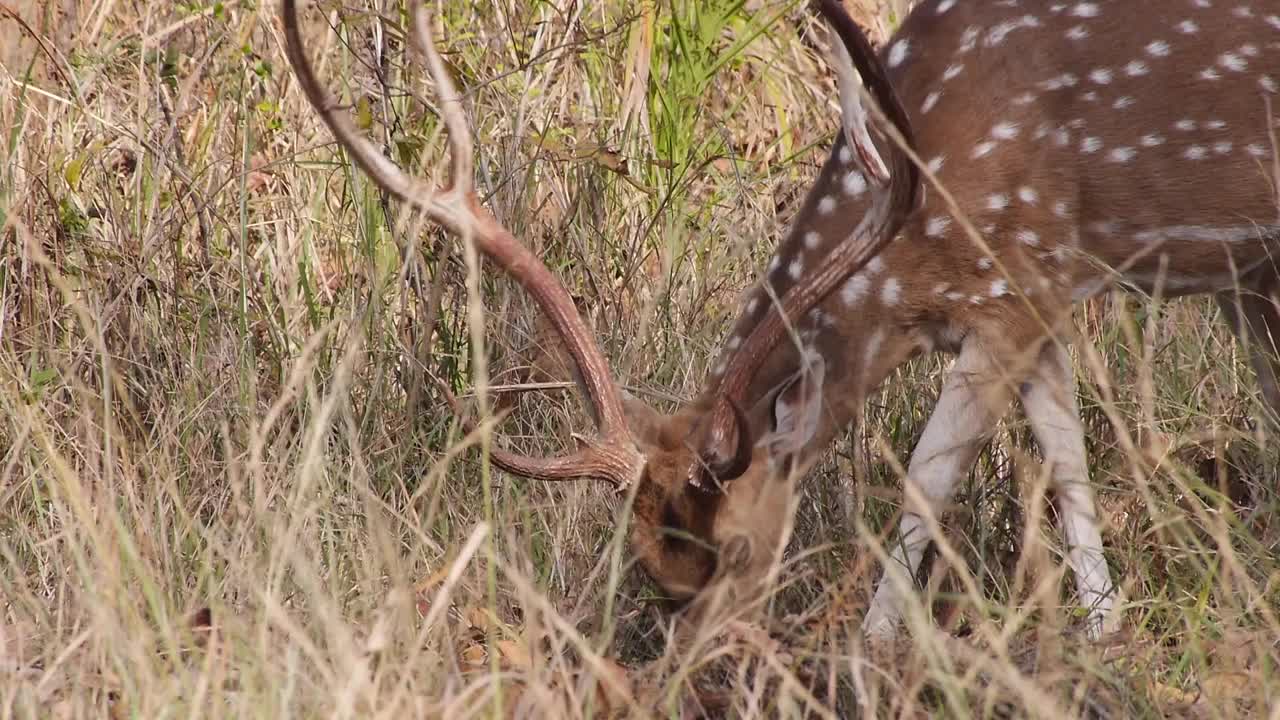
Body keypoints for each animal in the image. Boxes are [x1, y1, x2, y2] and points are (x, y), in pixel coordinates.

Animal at [285, 0, 1280, 648]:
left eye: (733, 550)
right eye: (646, 570)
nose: (696, 670)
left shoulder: (1024, 279)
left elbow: (928, 479)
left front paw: (873, 651)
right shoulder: (1029, 296)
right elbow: (1066, 462)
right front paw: (1103, 631)